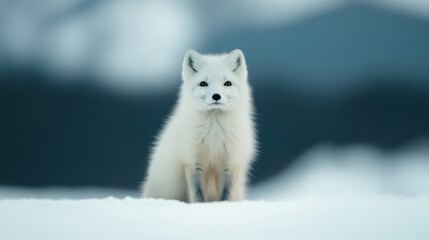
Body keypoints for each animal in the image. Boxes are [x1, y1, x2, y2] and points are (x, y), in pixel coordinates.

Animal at [141, 49, 254, 202]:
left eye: (228, 83)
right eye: (203, 84)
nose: (216, 96)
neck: (214, 132)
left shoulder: (230, 163)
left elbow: (226, 195)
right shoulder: (192, 163)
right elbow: (198, 195)